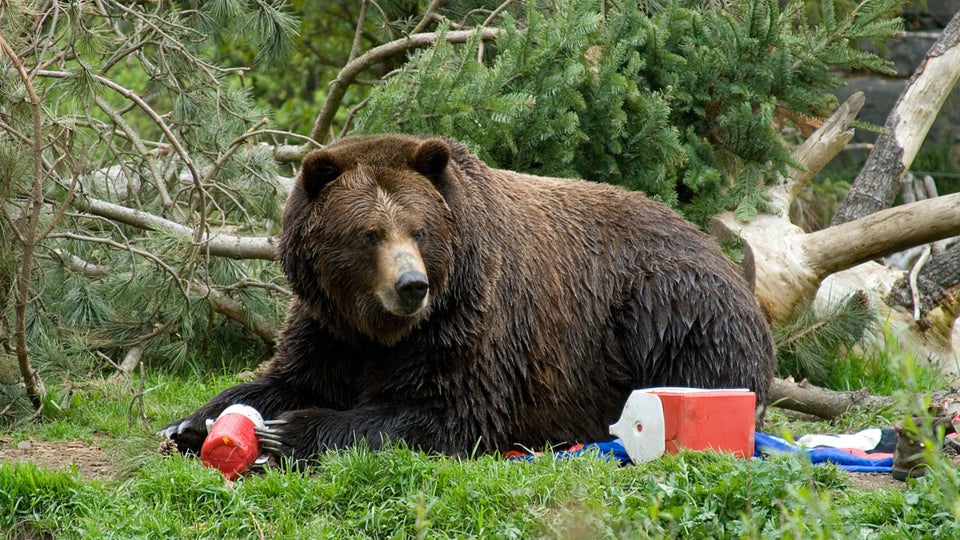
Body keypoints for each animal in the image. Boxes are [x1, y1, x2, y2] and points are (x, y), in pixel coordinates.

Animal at [162, 134, 776, 461]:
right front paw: (190, 424)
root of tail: (724, 259)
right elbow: (288, 375)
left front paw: (290, 432)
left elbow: (447, 411)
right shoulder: (328, 325)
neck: (381, 329)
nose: (411, 285)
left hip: (666, 308)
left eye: (419, 229)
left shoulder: (468, 320)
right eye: (369, 234)